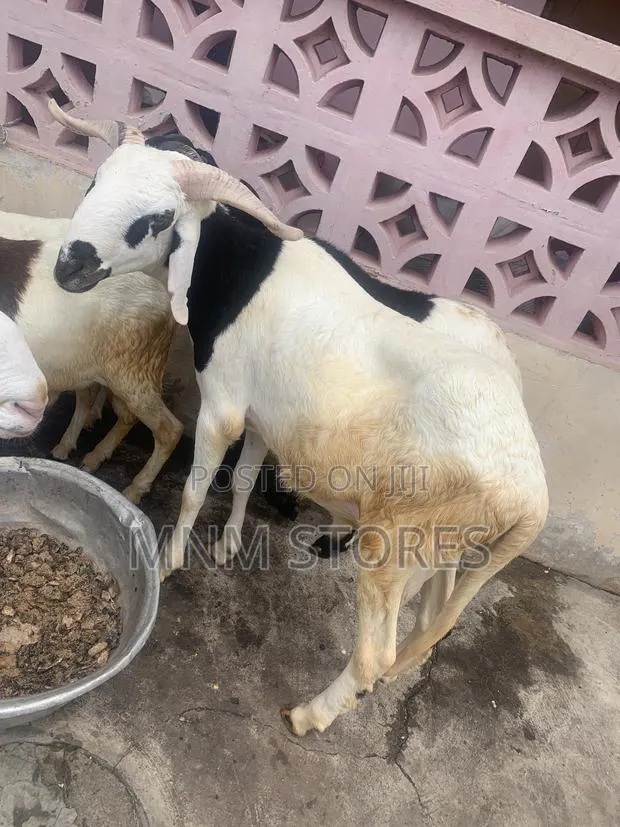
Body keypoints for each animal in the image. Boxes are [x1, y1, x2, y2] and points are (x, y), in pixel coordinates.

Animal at [47, 100, 548, 737]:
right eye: (96, 180)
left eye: (156, 219)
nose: (70, 266)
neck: (240, 270)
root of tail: (531, 495)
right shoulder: (264, 416)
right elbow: (239, 479)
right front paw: (229, 544)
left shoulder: (223, 406)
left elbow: (193, 489)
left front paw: (169, 562)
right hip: (449, 552)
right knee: (431, 625)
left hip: (397, 545)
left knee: (375, 653)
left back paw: (311, 713)